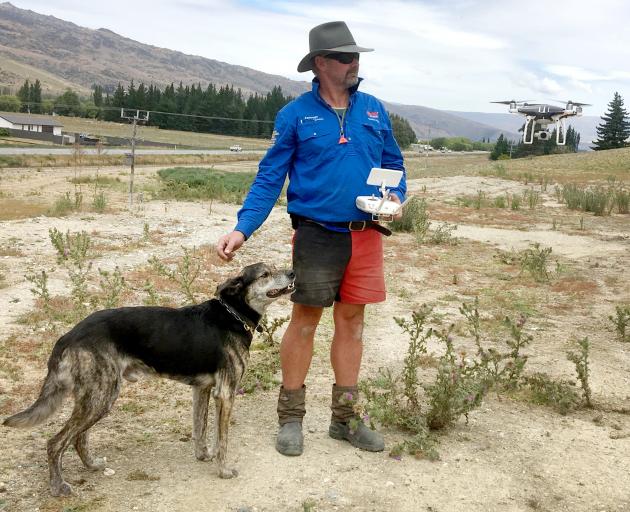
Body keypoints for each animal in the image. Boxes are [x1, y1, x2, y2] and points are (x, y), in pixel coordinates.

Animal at [1, 262, 296, 494]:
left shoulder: (202, 390)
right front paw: (223, 470)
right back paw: (57, 486)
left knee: (78, 438)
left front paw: (203, 456)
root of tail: (68, 335)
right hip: (101, 396)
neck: (233, 314)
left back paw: (92, 465)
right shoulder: (225, 393)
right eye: (265, 273)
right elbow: (222, 440)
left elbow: (200, 429)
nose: (293, 272)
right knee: (56, 442)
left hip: (96, 397)